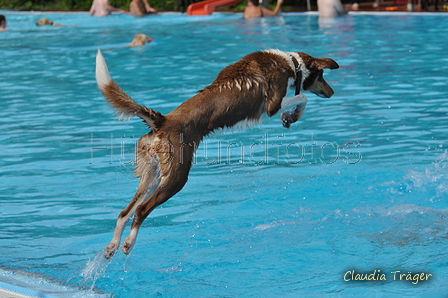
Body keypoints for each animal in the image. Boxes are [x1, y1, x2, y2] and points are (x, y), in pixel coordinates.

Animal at [95, 49, 340, 258]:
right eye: (322, 76)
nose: (332, 93)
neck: (290, 63)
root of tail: (161, 121)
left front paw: (290, 117)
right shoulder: (272, 104)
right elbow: (301, 98)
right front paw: (291, 116)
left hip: (152, 175)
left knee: (124, 212)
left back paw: (112, 246)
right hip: (176, 177)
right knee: (141, 210)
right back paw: (128, 243)